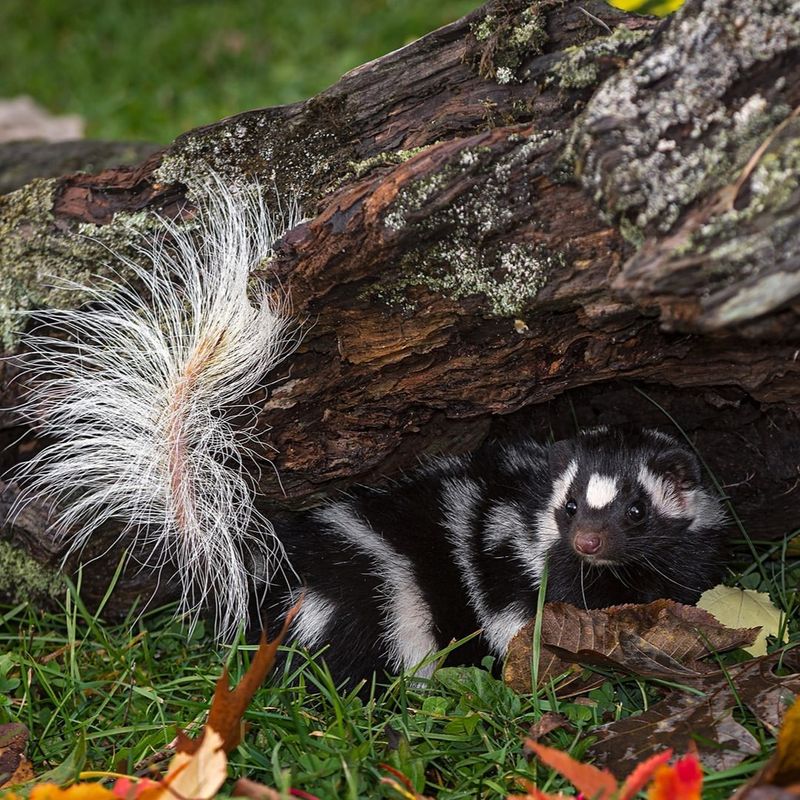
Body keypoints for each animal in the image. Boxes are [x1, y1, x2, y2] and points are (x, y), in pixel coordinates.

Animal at [14, 183, 724, 688]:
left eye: (636, 511)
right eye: (571, 508)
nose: (588, 542)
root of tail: (271, 572)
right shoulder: (522, 576)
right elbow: (523, 623)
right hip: (383, 600)